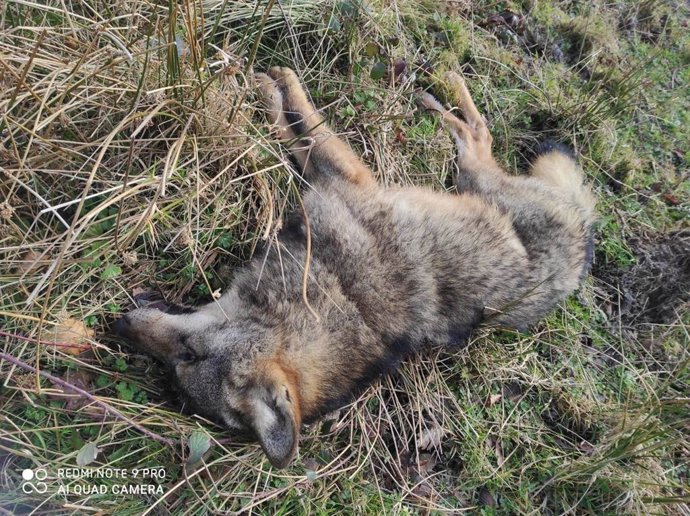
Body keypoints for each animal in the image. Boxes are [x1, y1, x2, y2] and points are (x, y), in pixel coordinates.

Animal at [114, 67, 596, 468]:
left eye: (188, 354)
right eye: (173, 372)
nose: (119, 325)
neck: (339, 293)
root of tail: (584, 230)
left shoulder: (347, 178)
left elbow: (305, 125)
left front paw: (272, 84)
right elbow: (297, 132)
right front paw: (270, 92)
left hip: (477, 178)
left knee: (478, 133)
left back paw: (446, 90)